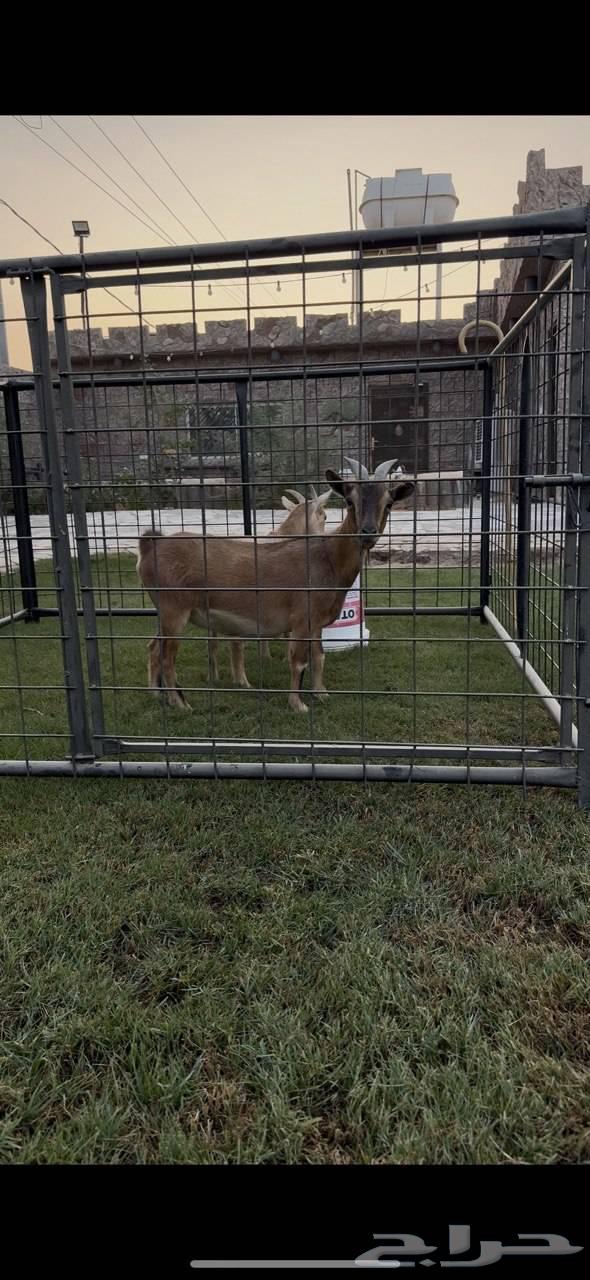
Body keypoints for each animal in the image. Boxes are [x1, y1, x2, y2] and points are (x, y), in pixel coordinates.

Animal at [137, 457, 414, 713]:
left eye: (389, 503)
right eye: (349, 500)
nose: (367, 532)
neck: (327, 557)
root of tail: (150, 547)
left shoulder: (316, 622)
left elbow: (319, 656)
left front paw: (321, 693)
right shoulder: (302, 619)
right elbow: (299, 661)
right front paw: (298, 704)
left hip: (166, 612)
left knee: (153, 647)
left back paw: (155, 693)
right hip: (175, 609)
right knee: (167, 655)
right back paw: (180, 702)